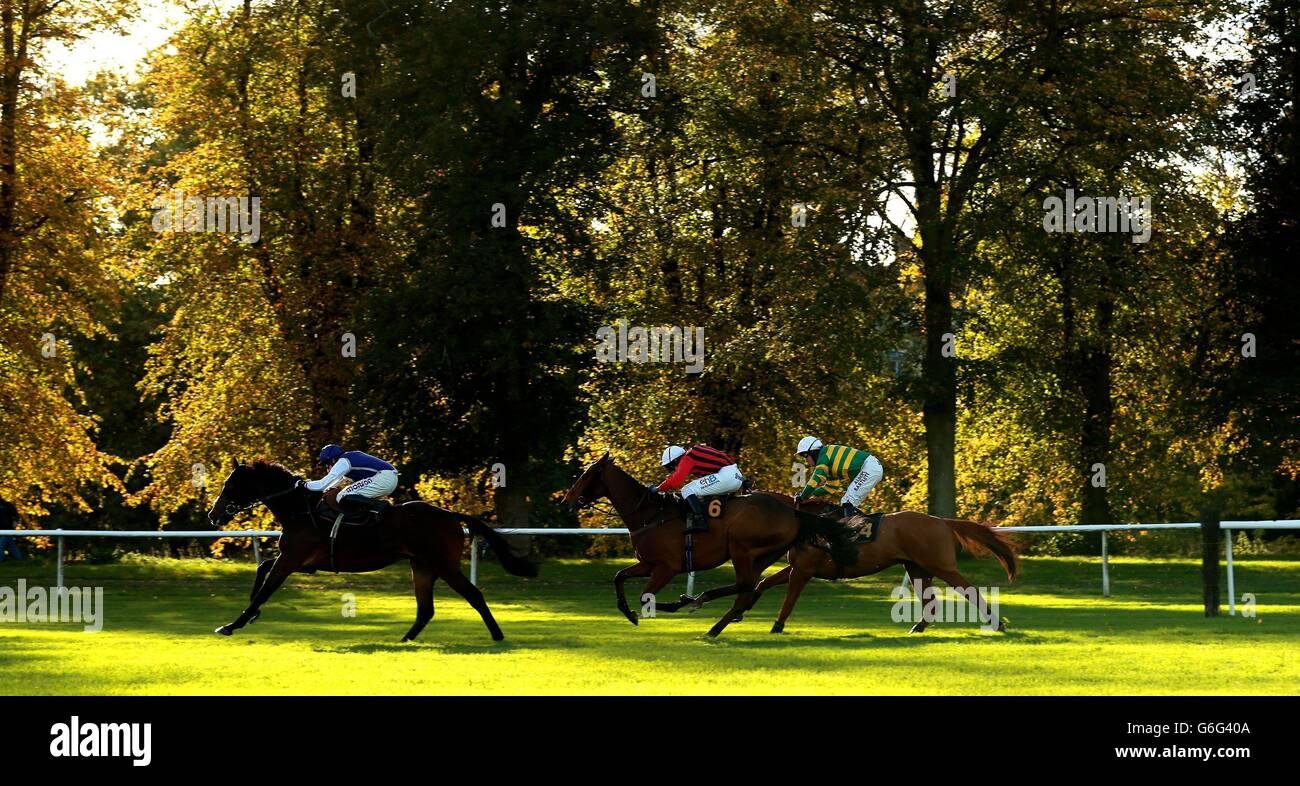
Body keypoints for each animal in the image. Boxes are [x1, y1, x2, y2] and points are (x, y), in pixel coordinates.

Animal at [208, 459, 533, 636]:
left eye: (231, 485)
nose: (214, 514)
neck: (300, 509)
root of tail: (451, 515)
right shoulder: (301, 562)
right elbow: (261, 569)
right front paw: (252, 615)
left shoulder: (290, 559)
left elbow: (265, 589)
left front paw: (233, 624)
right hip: (423, 566)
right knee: (425, 609)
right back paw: (405, 640)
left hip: (444, 565)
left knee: (474, 595)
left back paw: (498, 636)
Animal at [556, 454, 852, 636]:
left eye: (588, 474)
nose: (566, 501)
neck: (651, 514)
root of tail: (793, 511)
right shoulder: (647, 563)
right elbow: (619, 576)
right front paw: (628, 612)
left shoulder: (666, 567)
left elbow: (645, 595)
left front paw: (662, 606)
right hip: (762, 556)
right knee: (747, 588)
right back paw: (707, 615)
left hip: (740, 549)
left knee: (744, 587)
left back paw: (702, 608)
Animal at [676, 493, 1019, 633]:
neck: (805, 521)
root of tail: (943, 521)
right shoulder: (797, 566)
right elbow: (762, 582)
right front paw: (739, 612)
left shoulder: (803, 571)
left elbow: (788, 600)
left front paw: (776, 626)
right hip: (916, 569)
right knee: (930, 603)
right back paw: (917, 627)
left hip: (941, 566)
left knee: (970, 592)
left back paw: (997, 623)